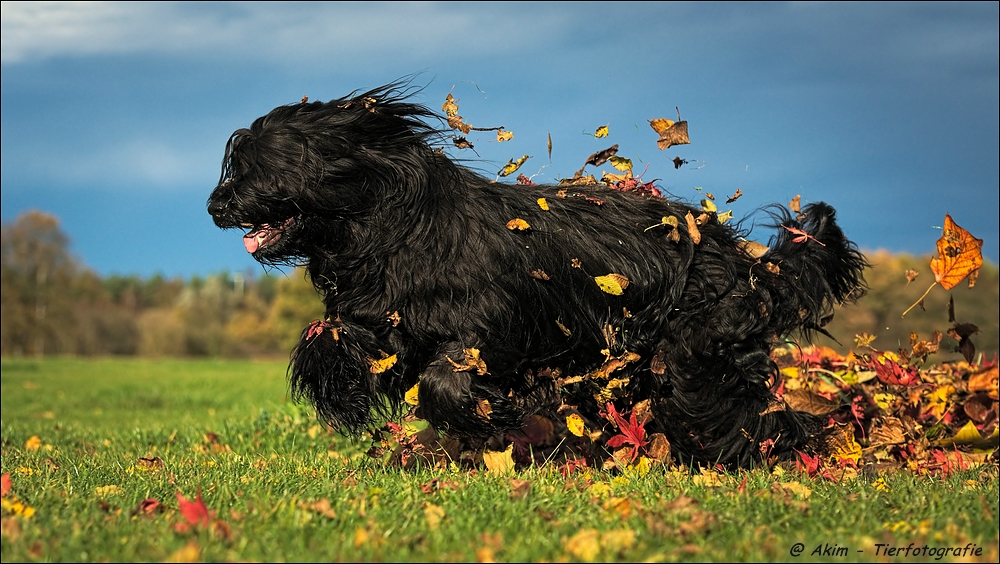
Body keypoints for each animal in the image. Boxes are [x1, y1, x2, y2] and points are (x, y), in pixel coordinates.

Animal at [207, 81, 864, 464]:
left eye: (264, 165)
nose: (216, 205)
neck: (392, 227)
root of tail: (736, 252)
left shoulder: (496, 321)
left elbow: (450, 374)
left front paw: (485, 413)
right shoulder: (380, 318)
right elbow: (333, 338)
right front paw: (339, 390)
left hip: (695, 350)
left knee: (742, 409)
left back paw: (764, 454)